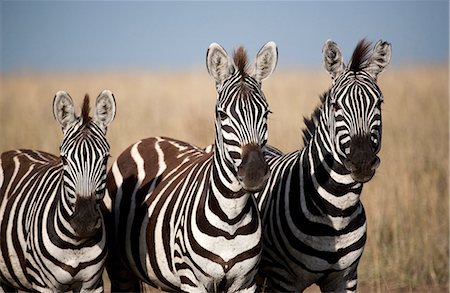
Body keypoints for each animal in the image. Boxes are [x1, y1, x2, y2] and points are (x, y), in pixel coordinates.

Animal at [0, 90, 116, 290]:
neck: (76, 244)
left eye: (105, 159)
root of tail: (13, 151)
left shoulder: (92, 285)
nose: (84, 221)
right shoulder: (43, 285)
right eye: (64, 159)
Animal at [103, 41, 278, 292]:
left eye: (266, 113)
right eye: (222, 114)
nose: (254, 173)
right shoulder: (192, 280)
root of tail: (147, 139)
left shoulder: (245, 283)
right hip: (120, 268)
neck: (231, 218)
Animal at [256, 39, 390, 292]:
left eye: (379, 102)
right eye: (336, 105)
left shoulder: (345, 278)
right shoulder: (283, 280)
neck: (338, 209)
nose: (363, 162)